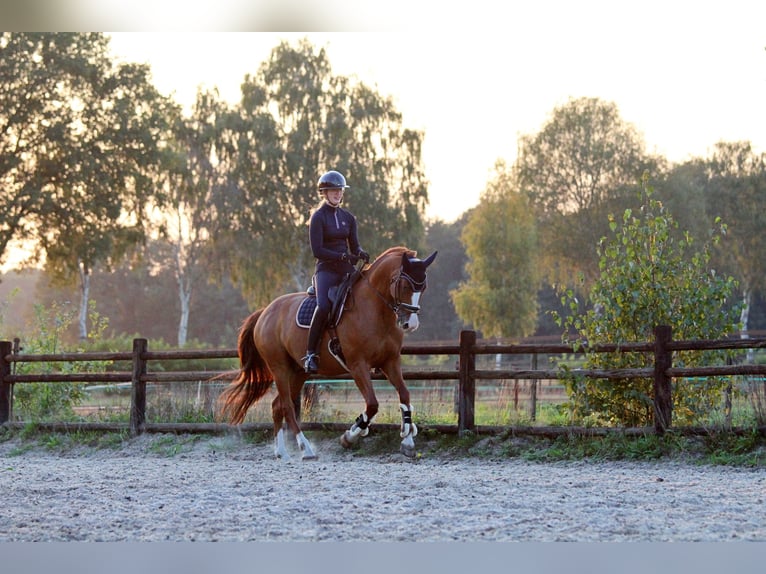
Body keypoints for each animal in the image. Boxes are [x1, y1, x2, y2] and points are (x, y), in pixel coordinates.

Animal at [219, 245, 440, 462]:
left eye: (423, 288)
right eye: (405, 286)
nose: (410, 324)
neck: (375, 310)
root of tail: (265, 311)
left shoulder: (390, 362)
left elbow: (405, 396)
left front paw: (408, 441)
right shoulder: (358, 365)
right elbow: (372, 405)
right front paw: (350, 436)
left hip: (299, 372)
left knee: (277, 406)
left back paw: (281, 451)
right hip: (279, 368)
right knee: (288, 407)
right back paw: (306, 449)